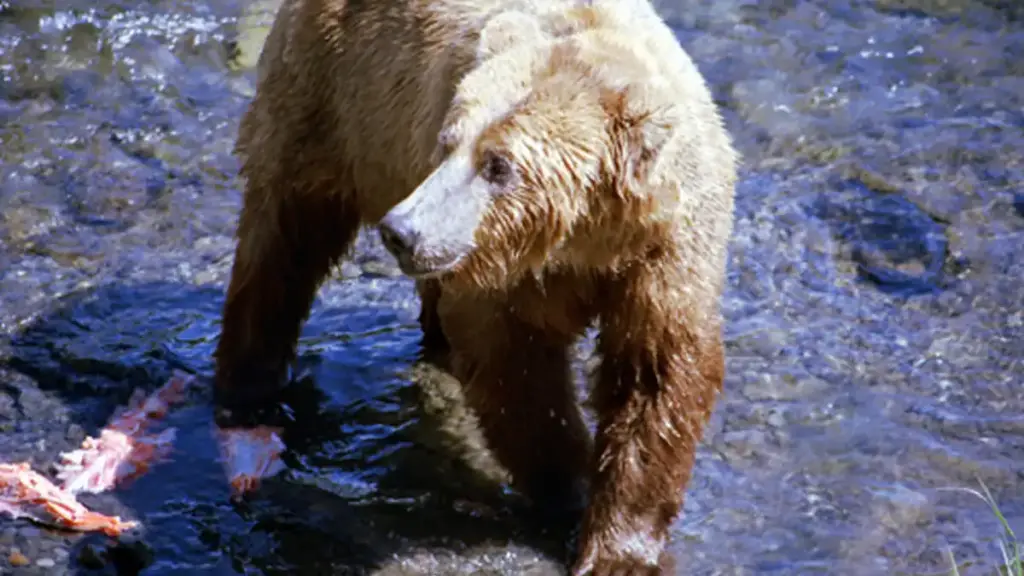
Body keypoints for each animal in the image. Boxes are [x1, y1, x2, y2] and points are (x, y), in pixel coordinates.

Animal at [212, 0, 738, 574]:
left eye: (499, 165)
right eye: (449, 144)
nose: (402, 230)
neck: (587, 238)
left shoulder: (665, 255)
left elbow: (654, 376)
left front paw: (619, 548)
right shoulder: (505, 273)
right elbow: (514, 363)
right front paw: (568, 487)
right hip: (332, 101)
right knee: (283, 242)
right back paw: (248, 389)